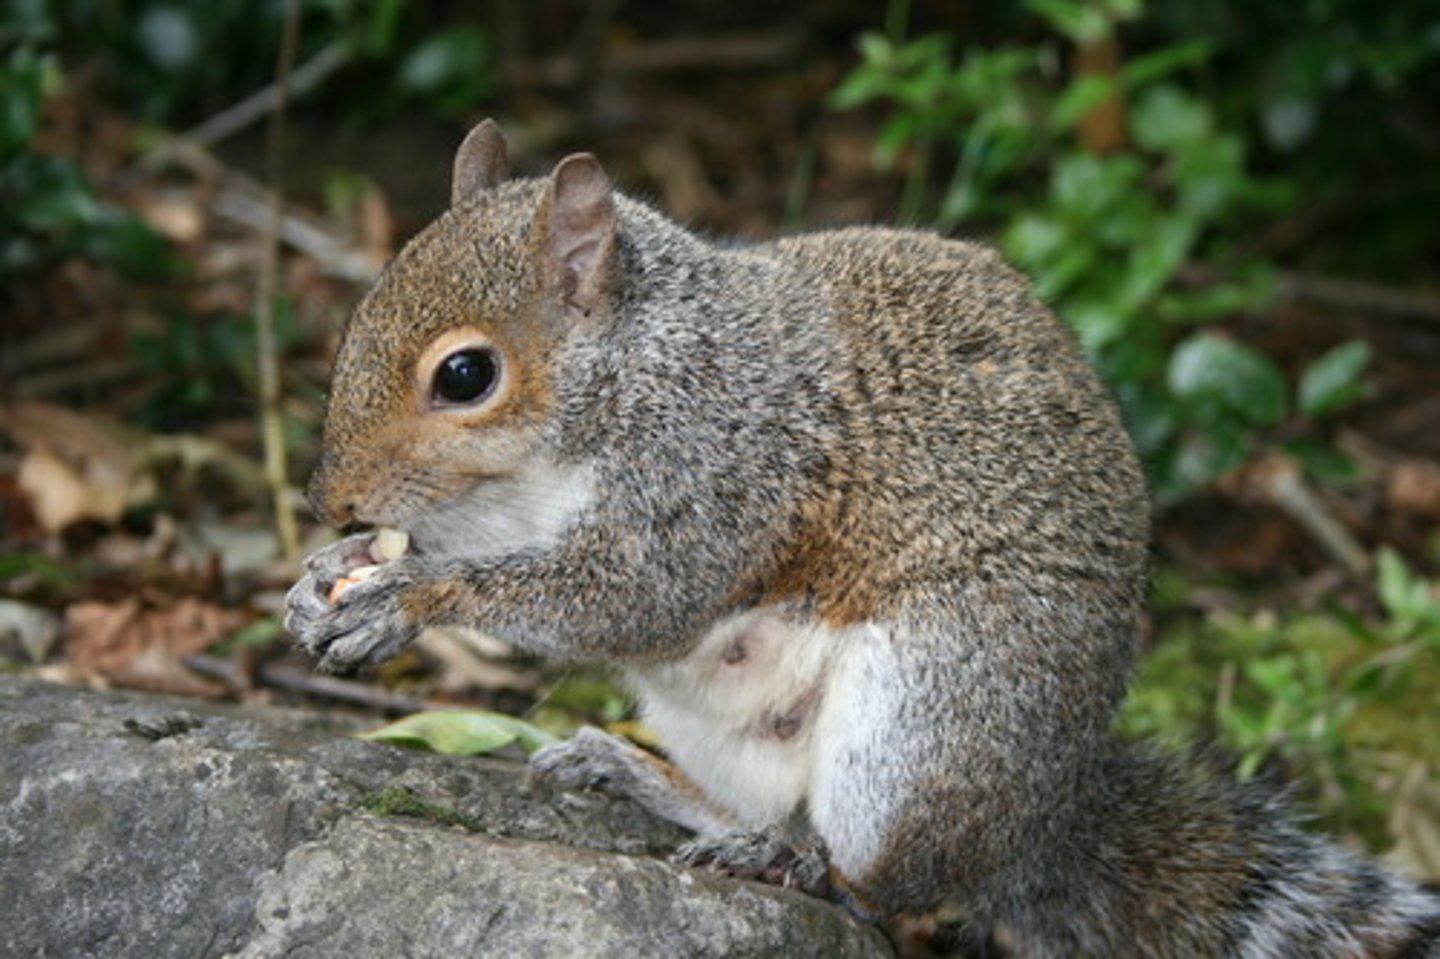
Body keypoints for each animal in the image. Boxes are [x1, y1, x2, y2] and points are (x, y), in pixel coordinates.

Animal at [285, 119, 1440, 955]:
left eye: (465, 374)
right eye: (356, 320)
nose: (330, 498)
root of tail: (1042, 819)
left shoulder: (722, 463)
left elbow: (632, 596)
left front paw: (406, 599)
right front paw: (328, 577)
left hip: (926, 725)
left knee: (883, 886)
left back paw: (794, 865)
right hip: (728, 727)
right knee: (762, 806)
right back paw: (661, 786)